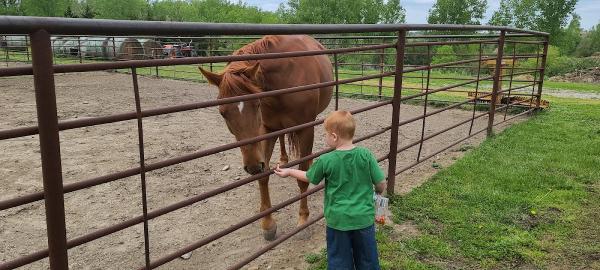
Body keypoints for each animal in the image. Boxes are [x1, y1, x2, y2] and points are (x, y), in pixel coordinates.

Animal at [200, 34, 332, 239]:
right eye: (222, 113)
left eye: (256, 104)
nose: (253, 166)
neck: (285, 77)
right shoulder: (266, 129)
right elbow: (263, 177)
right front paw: (268, 224)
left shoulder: (305, 129)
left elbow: (302, 176)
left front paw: (303, 219)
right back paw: (284, 159)